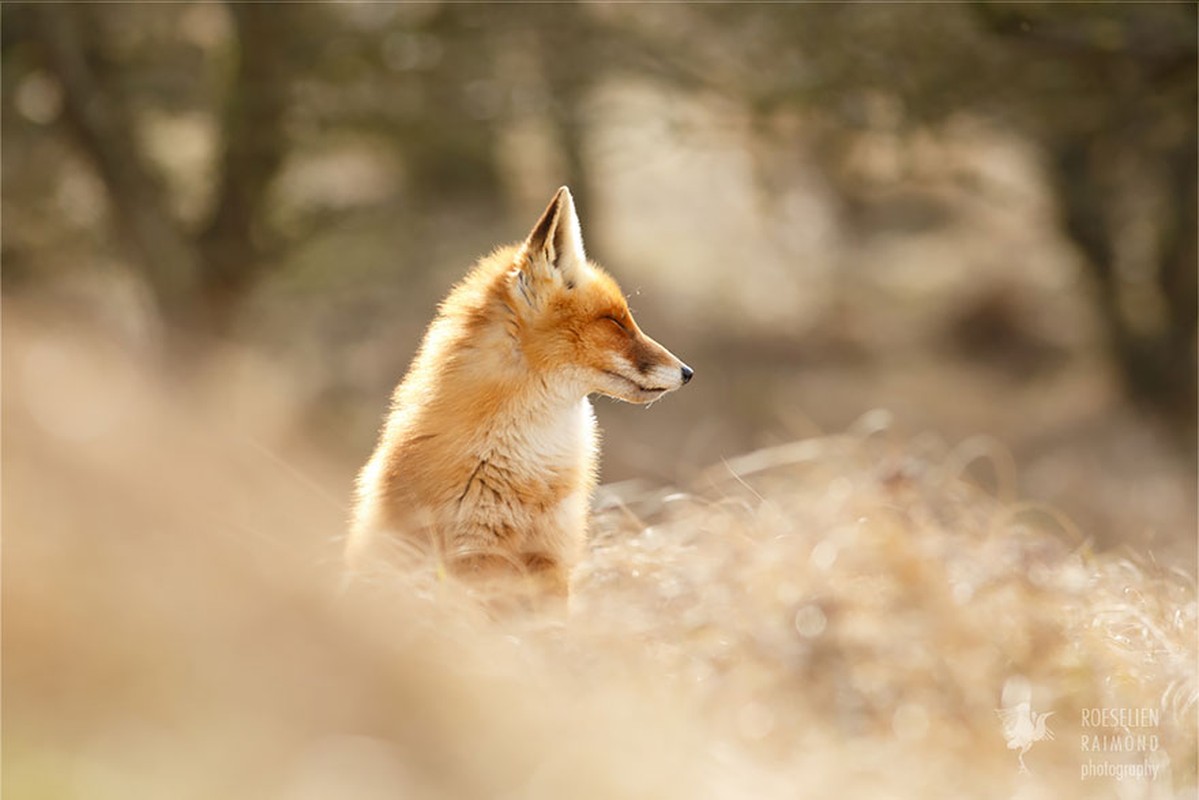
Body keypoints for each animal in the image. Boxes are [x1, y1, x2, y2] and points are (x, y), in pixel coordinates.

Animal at [347, 189, 695, 599]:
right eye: (614, 322)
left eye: (625, 320)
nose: (687, 372)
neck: (527, 464)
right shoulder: (476, 560)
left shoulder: (551, 556)